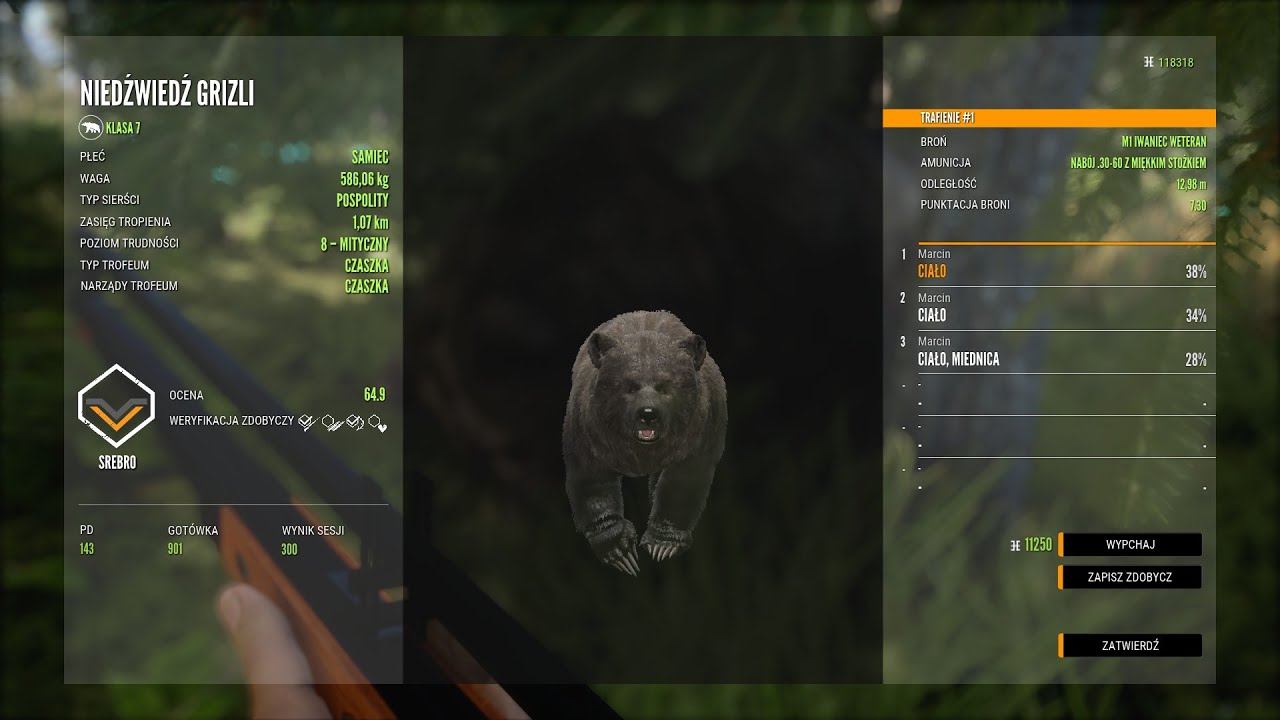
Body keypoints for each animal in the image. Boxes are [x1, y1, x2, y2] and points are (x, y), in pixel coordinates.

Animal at [563, 310, 727, 575]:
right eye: (629, 386)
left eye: (665, 386)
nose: (648, 413)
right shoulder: (587, 430)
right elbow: (592, 481)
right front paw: (620, 552)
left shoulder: (698, 434)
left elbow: (681, 483)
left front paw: (663, 546)